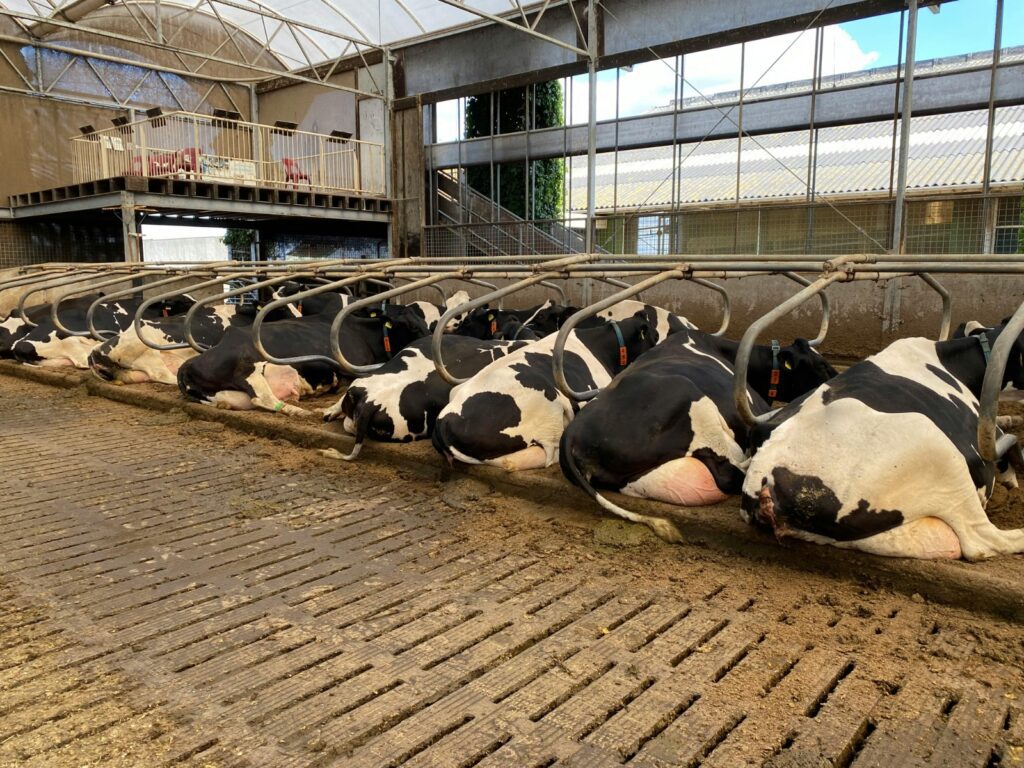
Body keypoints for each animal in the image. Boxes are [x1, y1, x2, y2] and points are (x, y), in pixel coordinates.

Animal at [177, 298, 429, 416]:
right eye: (411, 327)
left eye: (425, 323)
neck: (362, 332)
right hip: (248, 368)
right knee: (263, 399)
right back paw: (300, 411)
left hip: (228, 394)